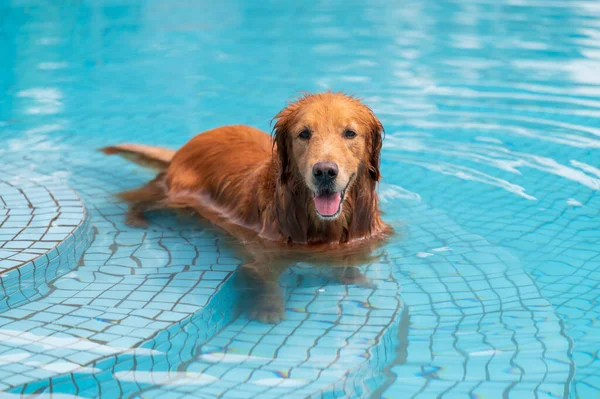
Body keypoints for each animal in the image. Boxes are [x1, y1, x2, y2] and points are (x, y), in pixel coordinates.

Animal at [102, 92, 394, 324]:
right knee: (140, 196)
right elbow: (266, 277)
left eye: (350, 133)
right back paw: (135, 217)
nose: (324, 172)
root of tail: (191, 141)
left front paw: (354, 279)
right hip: (176, 195)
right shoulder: (261, 251)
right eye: (304, 133)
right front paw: (269, 309)